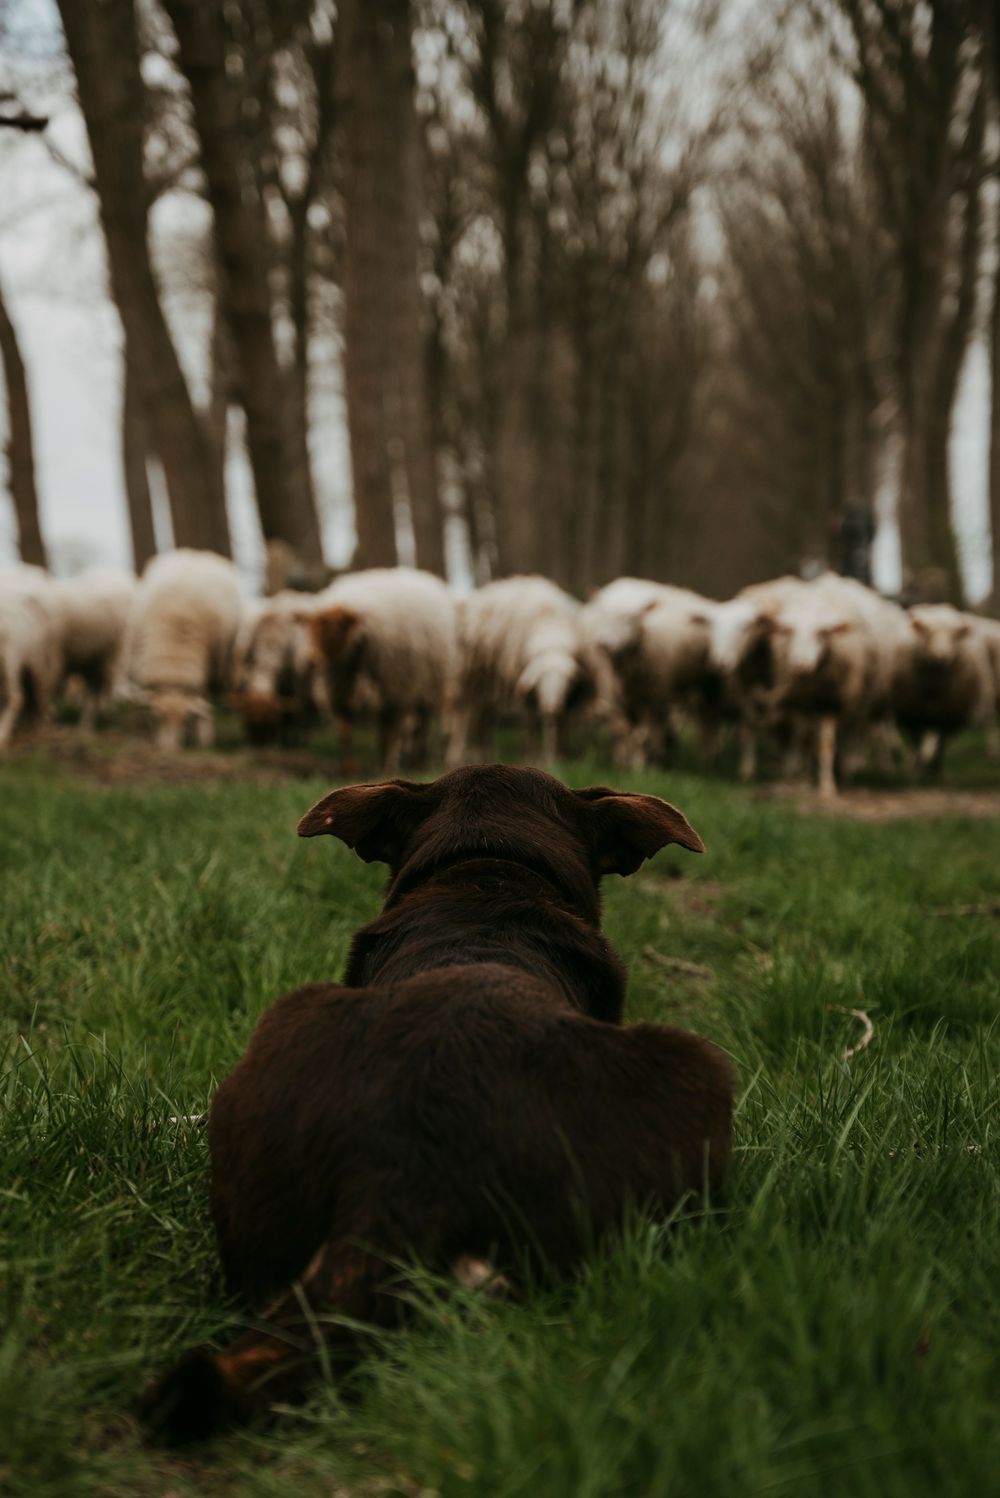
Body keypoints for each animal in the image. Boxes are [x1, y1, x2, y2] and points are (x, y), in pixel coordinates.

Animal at [124, 549, 243, 750]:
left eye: (185, 720)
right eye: (158, 717)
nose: (169, 750)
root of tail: (196, 553)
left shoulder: (207, 670)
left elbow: (204, 705)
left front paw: (204, 739)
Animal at [305, 567, 457, 773]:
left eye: (337, 628)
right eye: (310, 629)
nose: (311, 661)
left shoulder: (397, 691)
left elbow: (391, 733)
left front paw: (388, 768)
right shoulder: (341, 692)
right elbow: (345, 732)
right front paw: (348, 769)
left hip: (427, 682)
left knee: (421, 722)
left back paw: (417, 761)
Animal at [449, 575, 597, 766]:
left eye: (567, 682)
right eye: (542, 680)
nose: (551, 708)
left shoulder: (568, 699)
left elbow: (562, 724)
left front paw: (558, 755)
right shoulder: (527, 688)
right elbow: (530, 722)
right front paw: (531, 754)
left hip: (487, 682)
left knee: (485, 716)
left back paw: (485, 753)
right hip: (468, 674)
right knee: (463, 713)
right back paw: (457, 756)